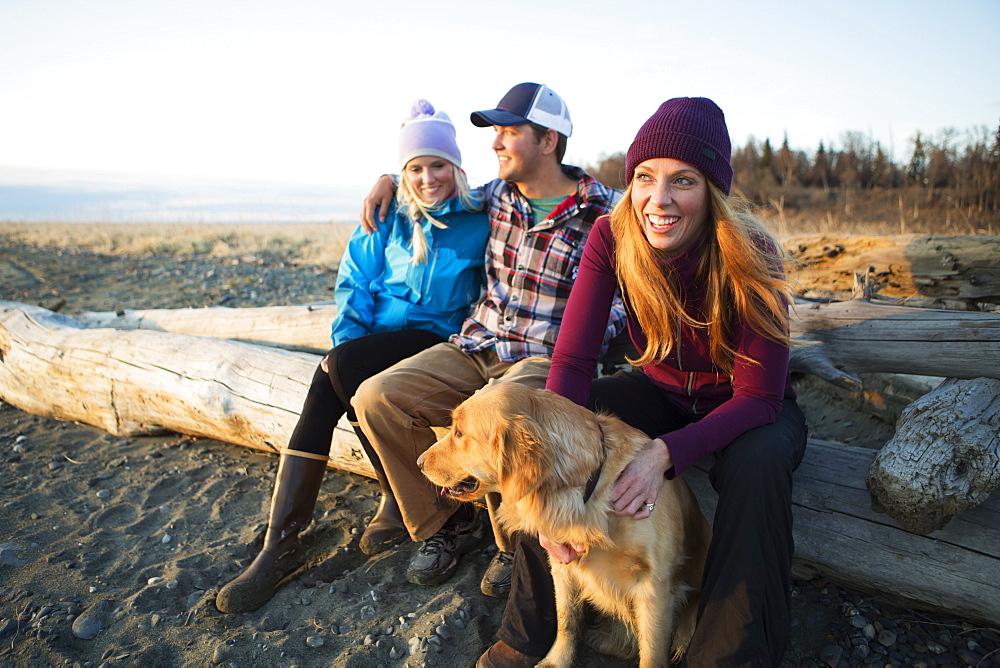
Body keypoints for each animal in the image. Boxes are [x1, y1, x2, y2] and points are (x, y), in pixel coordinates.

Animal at [414, 380, 712, 668]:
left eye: (460, 433)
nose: (418, 462)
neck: (584, 494)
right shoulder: (562, 564)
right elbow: (565, 620)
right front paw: (557, 660)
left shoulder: (655, 585)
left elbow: (652, 653)